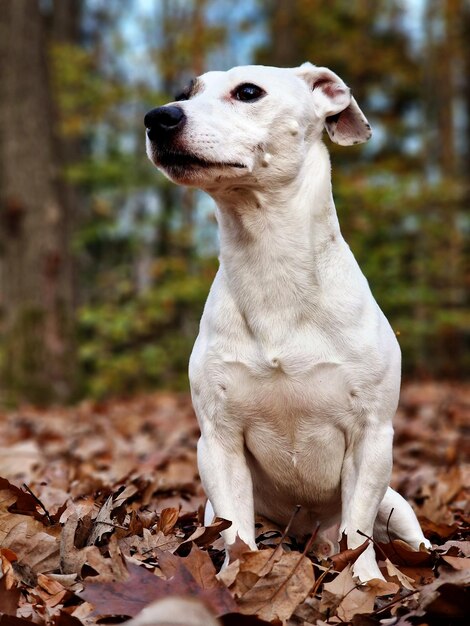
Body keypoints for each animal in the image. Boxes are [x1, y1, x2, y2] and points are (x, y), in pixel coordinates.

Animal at [145, 63, 432, 580]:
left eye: (248, 92)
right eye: (186, 92)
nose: (158, 117)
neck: (270, 263)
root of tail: (306, 534)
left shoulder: (372, 435)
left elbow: (358, 528)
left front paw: (366, 580)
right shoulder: (218, 441)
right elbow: (235, 528)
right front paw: (233, 578)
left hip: (396, 506)